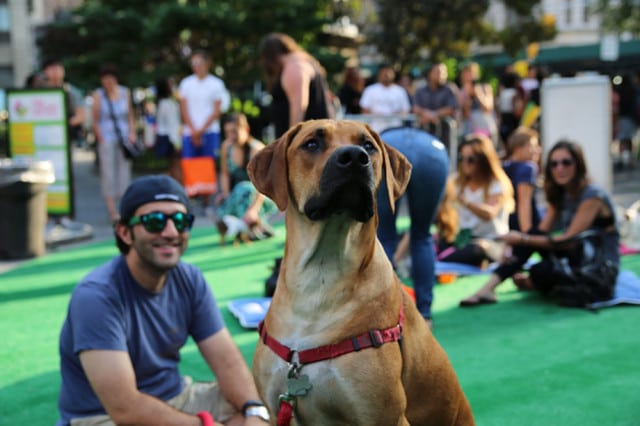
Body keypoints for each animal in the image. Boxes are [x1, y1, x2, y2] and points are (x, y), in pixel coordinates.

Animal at [248, 118, 472, 424]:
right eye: (311, 143)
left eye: (368, 145)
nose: (354, 157)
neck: (321, 276)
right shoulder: (277, 410)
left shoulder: (384, 414)